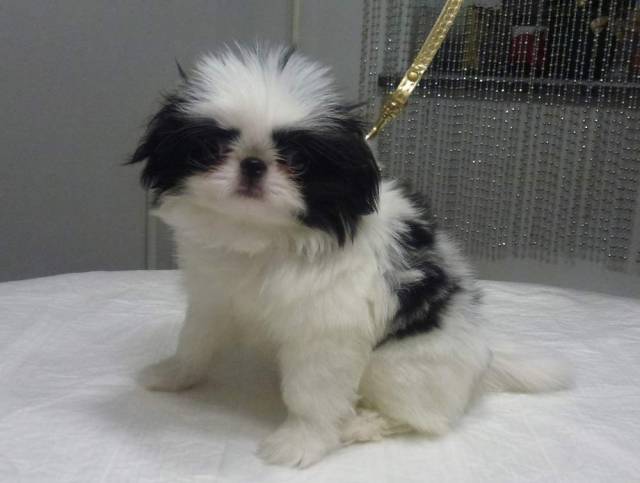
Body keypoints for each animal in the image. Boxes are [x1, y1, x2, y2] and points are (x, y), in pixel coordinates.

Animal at [130, 45, 570, 467]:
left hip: (396, 369)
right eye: (213, 148)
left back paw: (362, 424)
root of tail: (482, 363)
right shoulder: (213, 299)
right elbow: (194, 342)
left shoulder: (327, 332)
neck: (265, 240)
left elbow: (311, 395)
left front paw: (301, 442)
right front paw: (173, 375)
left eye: (298, 162)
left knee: (427, 419)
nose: (253, 164)